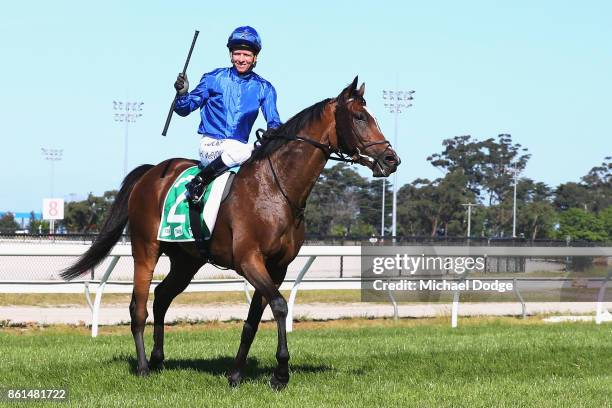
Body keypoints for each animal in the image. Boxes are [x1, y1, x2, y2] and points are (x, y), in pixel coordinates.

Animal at [59, 76, 400, 388]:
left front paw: (236, 374)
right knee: (138, 307)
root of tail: (151, 172)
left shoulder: (277, 267)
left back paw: (158, 360)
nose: (391, 159)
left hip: (187, 260)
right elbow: (279, 306)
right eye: (359, 117)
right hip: (145, 250)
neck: (276, 189)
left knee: (162, 297)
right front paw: (280, 374)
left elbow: (253, 319)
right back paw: (143, 367)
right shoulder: (249, 260)